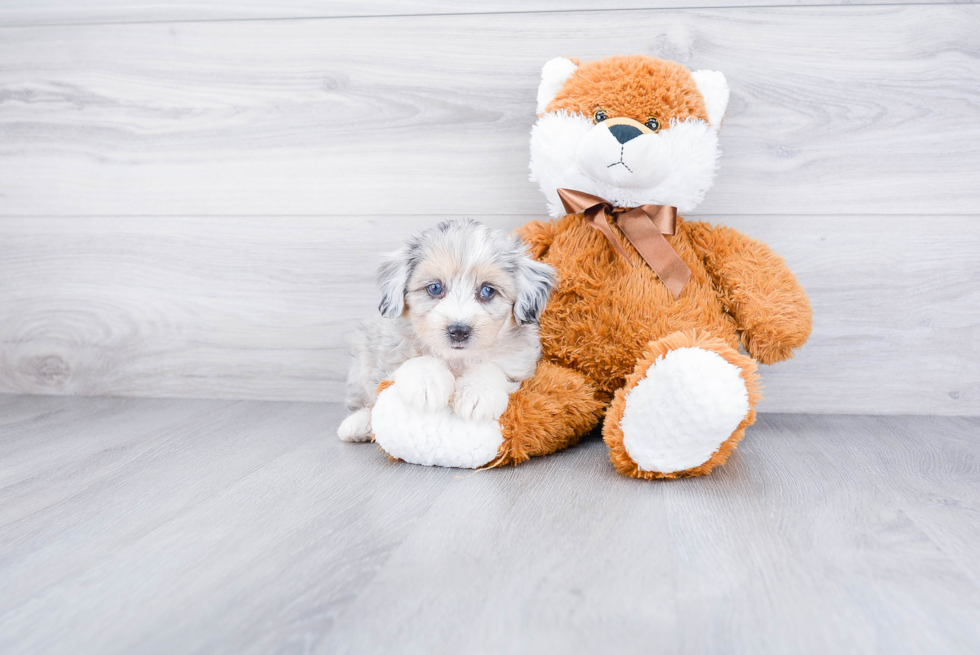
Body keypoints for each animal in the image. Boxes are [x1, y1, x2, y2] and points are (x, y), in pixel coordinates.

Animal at [336, 218, 556, 444]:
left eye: (487, 290)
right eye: (434, 288)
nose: (459, 330)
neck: (456, 359)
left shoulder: (519, 361)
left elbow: (493, 367)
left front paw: (477, 393)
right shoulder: (390, 350)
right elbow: (415, 358)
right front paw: (426, 383)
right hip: (362, 360)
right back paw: (358, 424)